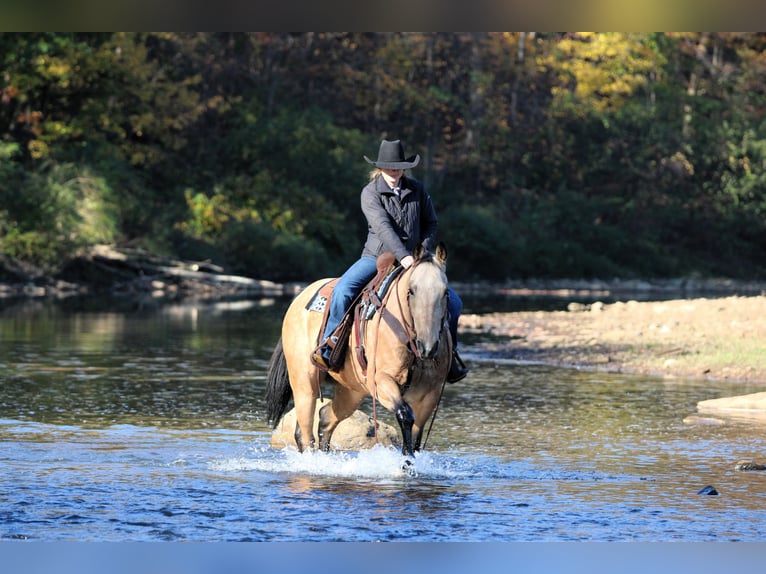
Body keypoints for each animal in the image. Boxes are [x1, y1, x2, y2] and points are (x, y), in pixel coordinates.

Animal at [265, 242, 452, 456]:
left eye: (445, 292)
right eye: (411, 291)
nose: (428, 347)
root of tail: (298, 300)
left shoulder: (430, 395)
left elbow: (415, 437)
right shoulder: (381, 381)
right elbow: (405, 415)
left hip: (351, 390)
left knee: (326, 418)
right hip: (304, 382)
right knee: (304, 433)